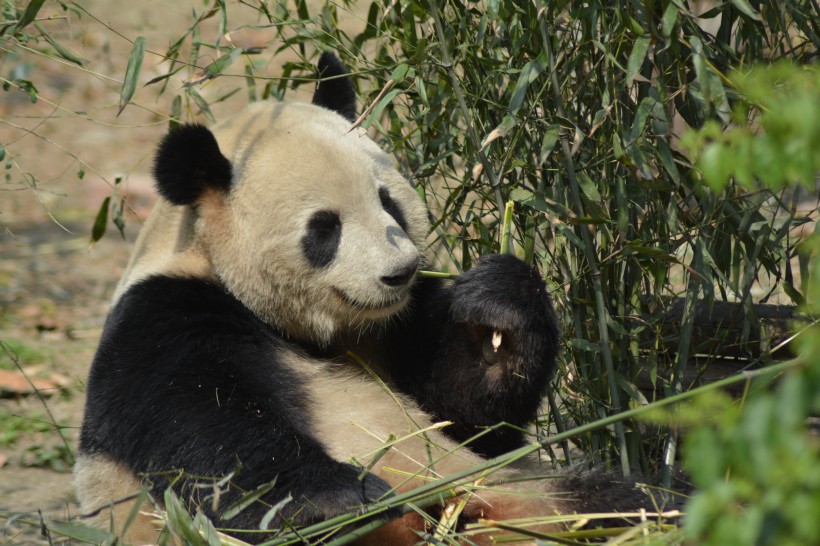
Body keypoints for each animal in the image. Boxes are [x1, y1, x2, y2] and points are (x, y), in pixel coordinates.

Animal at [75, 52, 616, 544]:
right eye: (324, 228)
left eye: (388, 201)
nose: (400, 273)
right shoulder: (165, 317)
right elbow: (208, 438)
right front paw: (344, 500)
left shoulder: (396, 329)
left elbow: (470, 417)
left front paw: (495, 312)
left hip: (527, 494)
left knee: (608, 500)